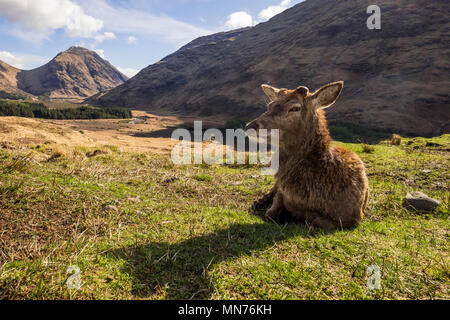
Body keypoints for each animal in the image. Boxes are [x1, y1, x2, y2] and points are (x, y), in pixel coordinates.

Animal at [246, 81, 370, 229]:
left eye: (295, 108)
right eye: (269, 105)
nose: (250, 126)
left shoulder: (354, 217)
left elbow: (315, 220)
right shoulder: (282, 193)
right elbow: (271, 213)